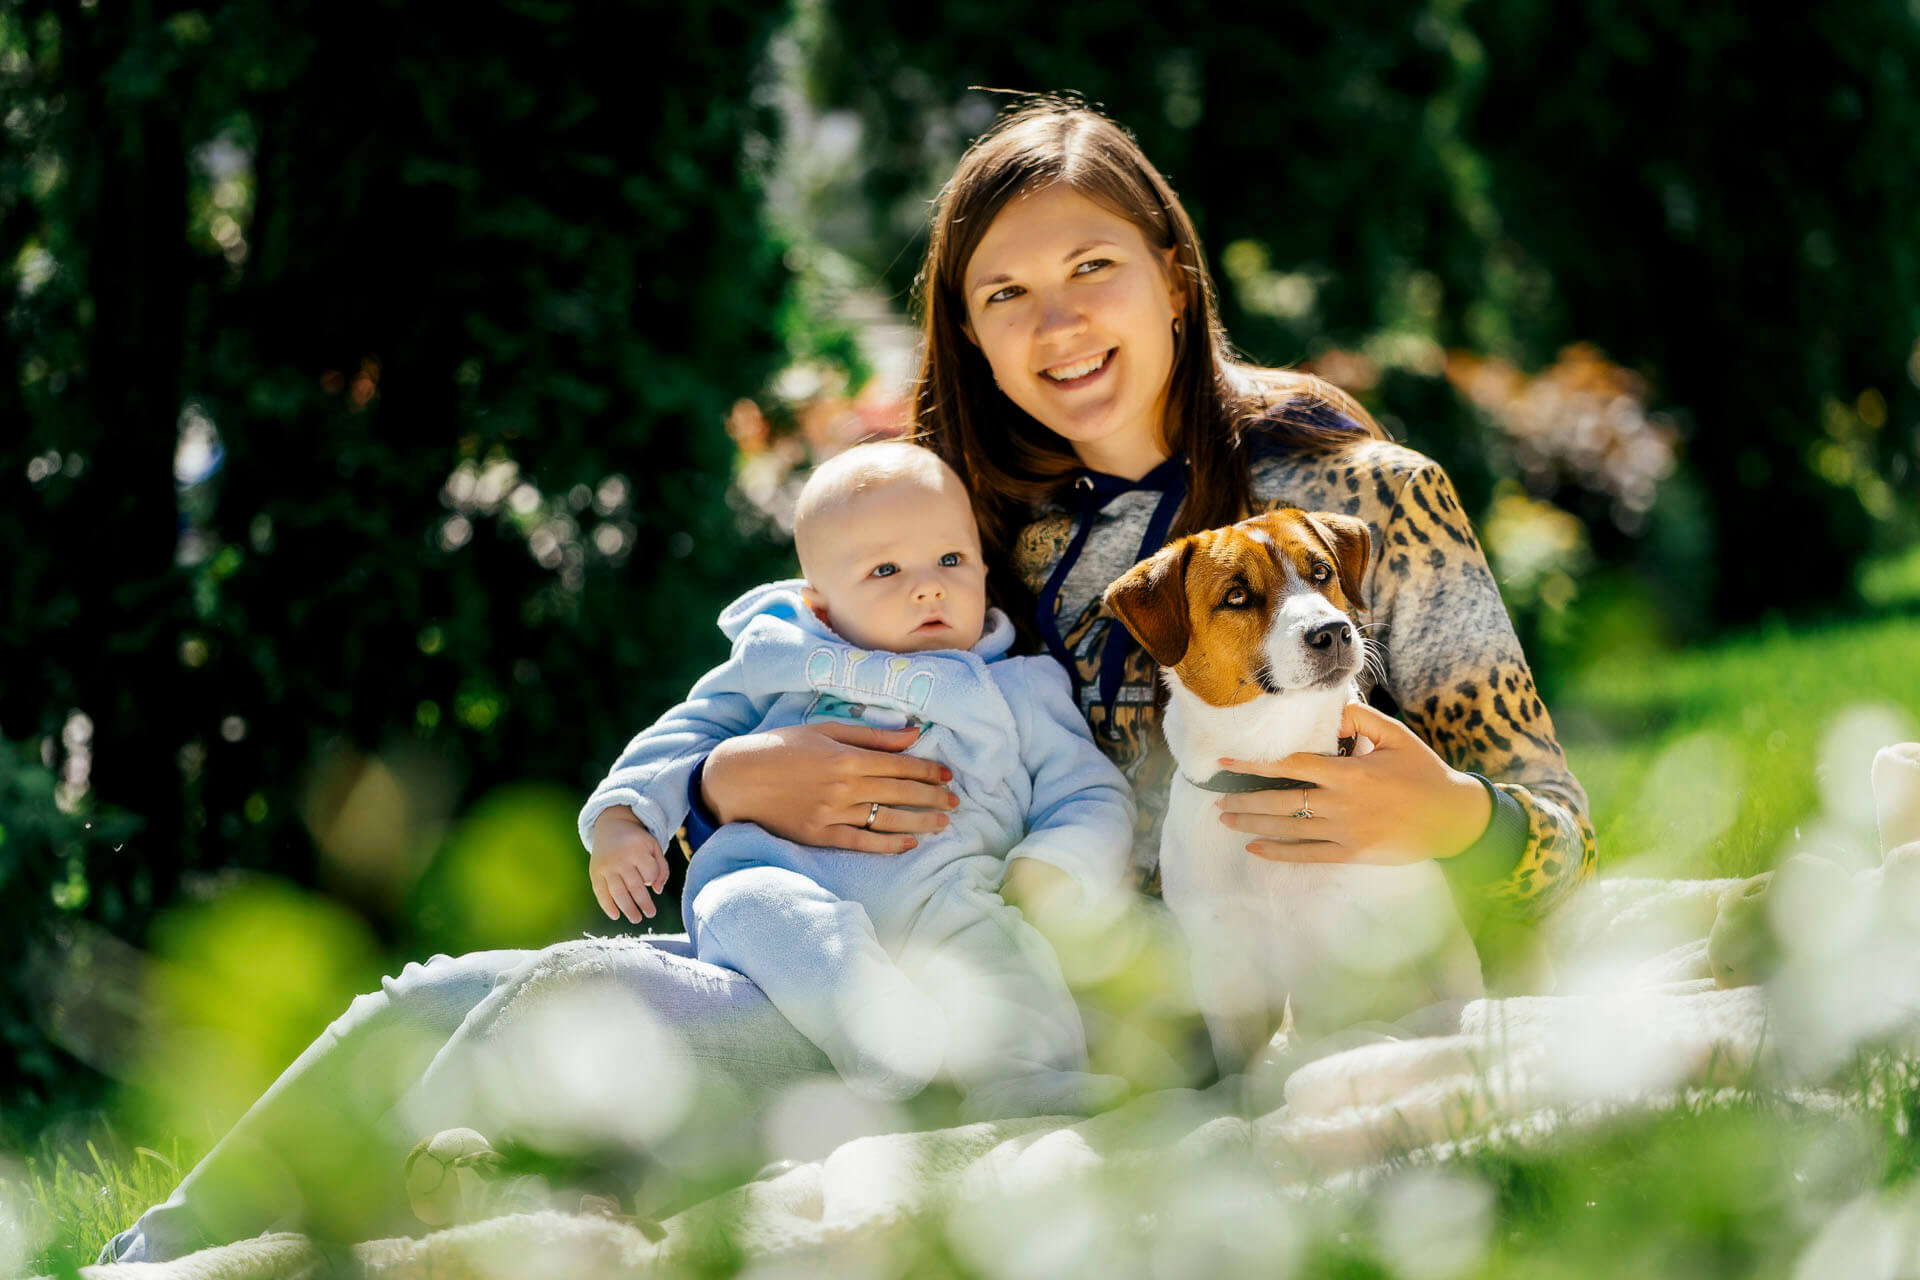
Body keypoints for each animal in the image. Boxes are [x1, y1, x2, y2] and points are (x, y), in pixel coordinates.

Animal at [1098, 510, 1482, 1074]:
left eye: (1321, 571)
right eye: (1236, 596)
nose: (1334, 633)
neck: (1275, 766)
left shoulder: (1425, 929)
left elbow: (1459, 1005)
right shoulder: (1227, 966)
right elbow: (1241, 1070)